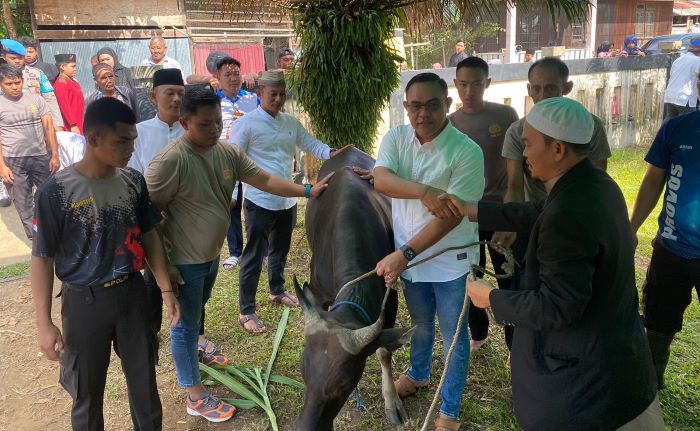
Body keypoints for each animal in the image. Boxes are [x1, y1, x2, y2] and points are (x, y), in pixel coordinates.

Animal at [296, 147, 416, 430]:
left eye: (342, 382)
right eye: (303, 369)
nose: (306, 425)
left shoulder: (390, 299)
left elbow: (383, 351)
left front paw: (392, 403)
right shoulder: (319, 293)